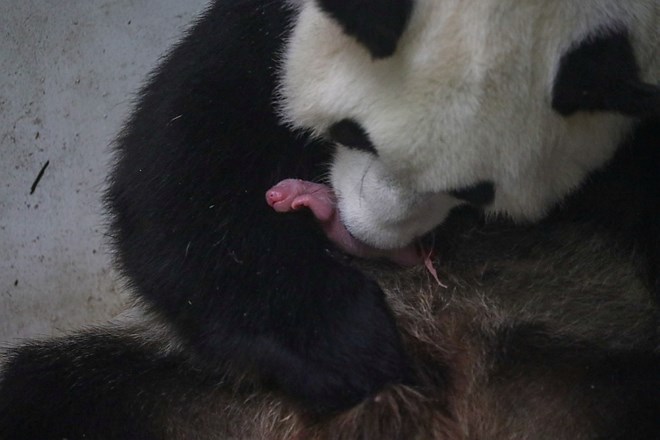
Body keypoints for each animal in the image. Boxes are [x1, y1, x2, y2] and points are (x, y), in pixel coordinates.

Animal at [1, 0, 660, 438]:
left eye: (474, 192)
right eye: (350, 132)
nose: (364, 235)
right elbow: (183, 170)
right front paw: (354, 346)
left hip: (581, 350)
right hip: (186, 399)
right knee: (55, 396)